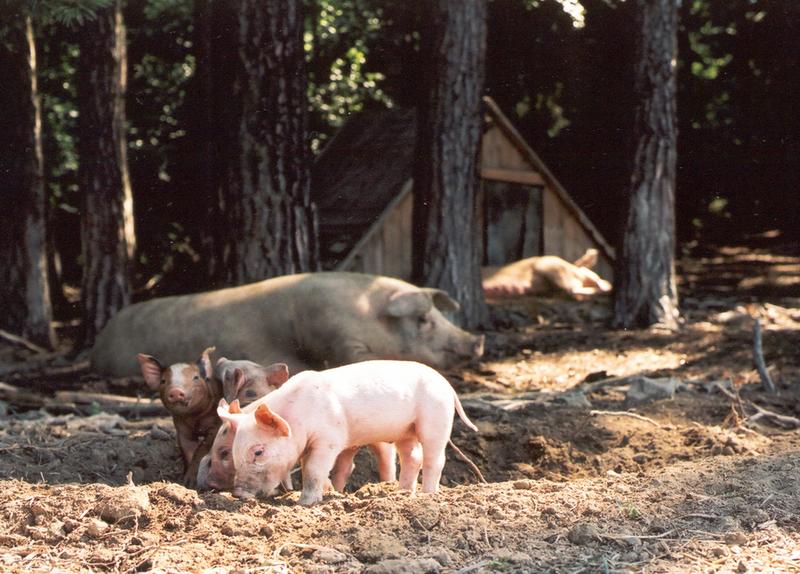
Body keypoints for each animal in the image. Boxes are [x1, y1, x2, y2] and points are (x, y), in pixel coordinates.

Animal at [136, 348, 220, 488]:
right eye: (163, 381)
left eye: (196, 377)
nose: (175, 391)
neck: (194, 418)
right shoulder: (181, 428)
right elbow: (187, 450)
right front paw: (185, 483)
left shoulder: (215, 424)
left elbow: (202, 449)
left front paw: (192, 484)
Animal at [217, 362, 476, 506]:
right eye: (234, 453)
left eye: (258, 452)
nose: (237, 493)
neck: (299, 415)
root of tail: (446, 384)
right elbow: (311, 468)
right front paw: (329, 493)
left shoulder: (328, 439)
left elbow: (314, 469)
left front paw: (305, 503)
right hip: (406, 430)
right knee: (412, 457)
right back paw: (401, 493)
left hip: (435, 419)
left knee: (435, 459)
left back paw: (426, 495)